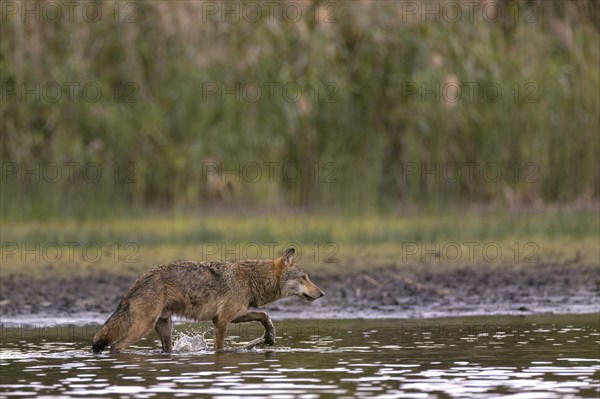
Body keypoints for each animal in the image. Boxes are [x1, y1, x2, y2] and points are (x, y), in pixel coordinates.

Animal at [91, 248, 324, 354]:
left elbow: (264, 315)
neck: (250, 279)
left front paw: (270, 335)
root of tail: (138, 280)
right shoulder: (221, 321)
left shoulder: (233, 315)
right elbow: (219, 348)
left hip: (165, 328)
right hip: (143, 327)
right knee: (115, 346)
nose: (322, 293)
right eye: (304, 278)